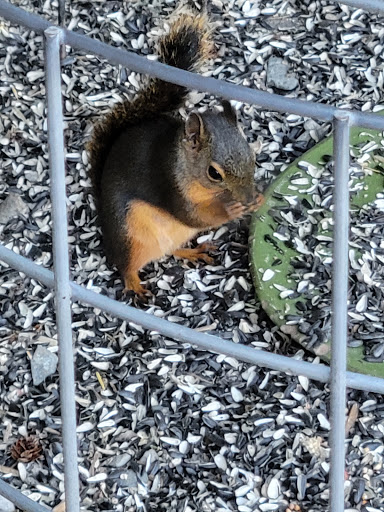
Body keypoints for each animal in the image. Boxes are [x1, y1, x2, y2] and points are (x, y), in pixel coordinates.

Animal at [87, 7, 264, 296]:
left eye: (253, 158)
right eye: (214, 173)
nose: (248, 197)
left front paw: (257, 198)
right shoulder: (169, 186)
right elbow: (194, 216)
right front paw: (232, 210)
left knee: (169, 250)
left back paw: (193, 252)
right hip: (128, 234)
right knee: (126, 265)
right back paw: (135, 285)